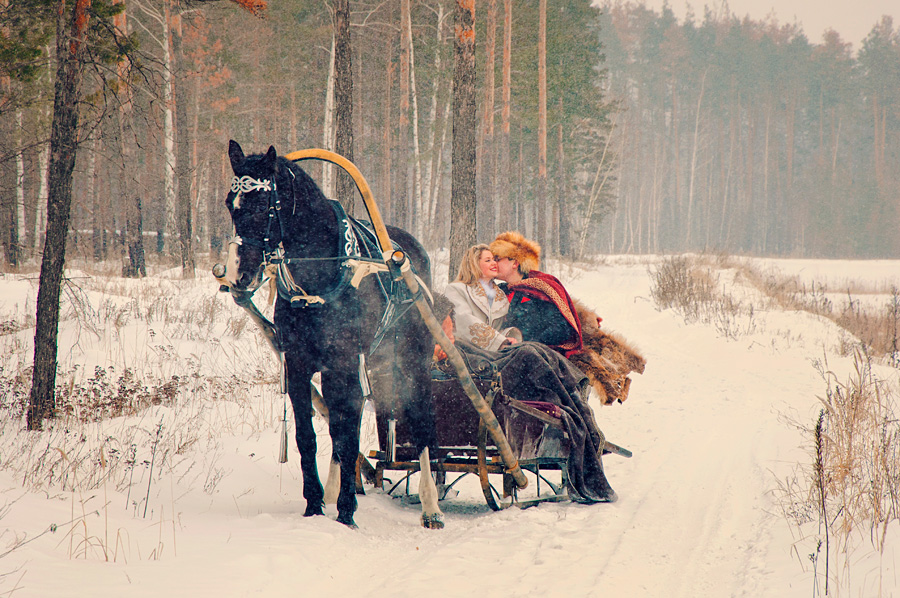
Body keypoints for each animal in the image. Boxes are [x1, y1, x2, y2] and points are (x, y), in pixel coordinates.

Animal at [219, 142, 442, 528]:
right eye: (231, 204)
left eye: (262, 205)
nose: (238, 274)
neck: (321, 278)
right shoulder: (298, 365)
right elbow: (308, 437)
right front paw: (315, 503)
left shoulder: (345, 363)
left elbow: (347, 436)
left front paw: (346, 512)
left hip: (413, 361)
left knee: (421, 423)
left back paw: (431, 506)